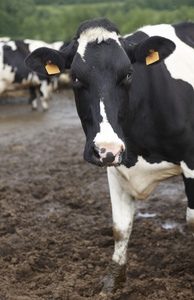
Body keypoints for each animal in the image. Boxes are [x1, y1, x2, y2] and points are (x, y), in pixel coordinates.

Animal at [24, 18, 194, 292]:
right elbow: (120, 226)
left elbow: (191, 219)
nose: (107, 148)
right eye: (74, 77)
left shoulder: (191, 163)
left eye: (129, 74)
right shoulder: (117, 168)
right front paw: (113, 279)